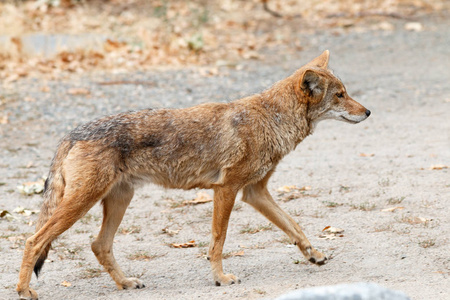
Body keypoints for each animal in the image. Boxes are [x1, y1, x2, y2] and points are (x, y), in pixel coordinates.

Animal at [16, 50, 370, 298]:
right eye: (340, 95)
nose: (368, 111)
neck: (271, 118)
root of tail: (71, 133)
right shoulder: (226, 189)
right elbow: (218, 240)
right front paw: (221, 278)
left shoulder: (254, 192)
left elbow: (294, 226)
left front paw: (315, 255)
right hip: (81, 204)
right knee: (34, 240)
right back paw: (24, 291)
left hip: (118, 200)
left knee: (98, 245)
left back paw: (126, 282)